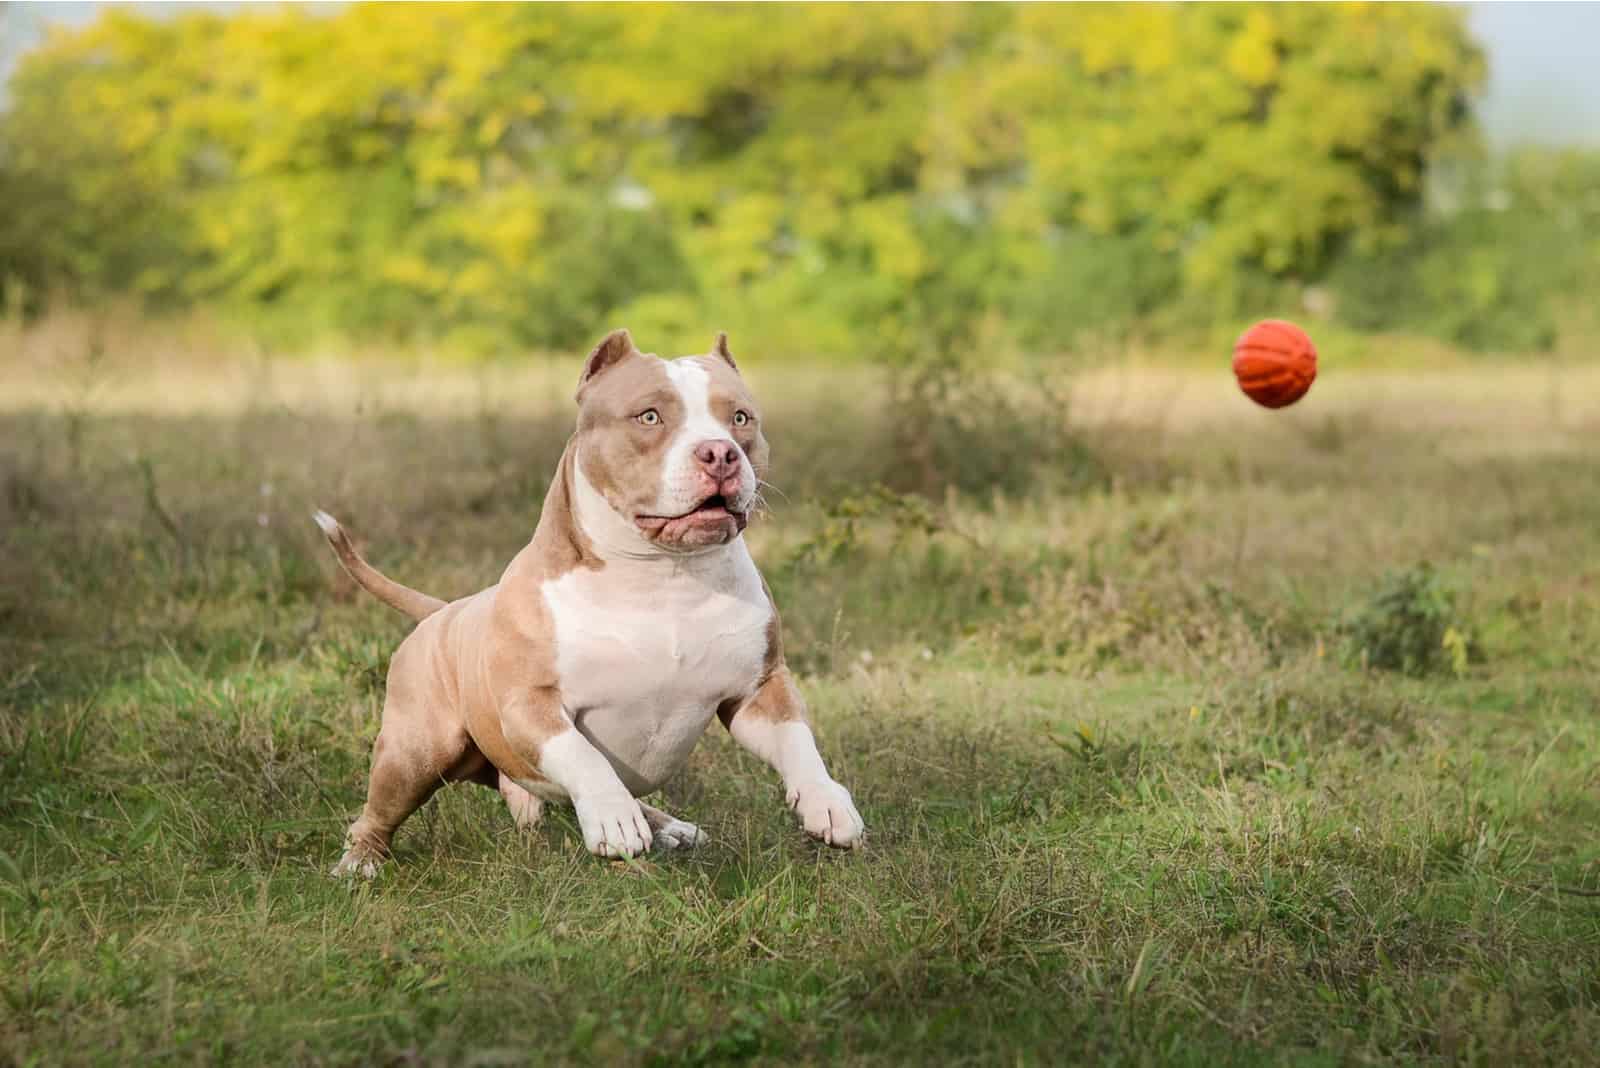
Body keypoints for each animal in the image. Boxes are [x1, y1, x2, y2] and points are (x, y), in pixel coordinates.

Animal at [312, 330, 864, 876]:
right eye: (649, 416)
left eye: (741, 418)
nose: (720, 454)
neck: (663, 576)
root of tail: (445, 609)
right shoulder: (531, 705)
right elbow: (585, 756)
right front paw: (611, 816)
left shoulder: (758, 691)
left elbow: (799, 741)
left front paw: (827, 802)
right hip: (416, 750)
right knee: (375, 814)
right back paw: (359, 863)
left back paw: (671, 827)